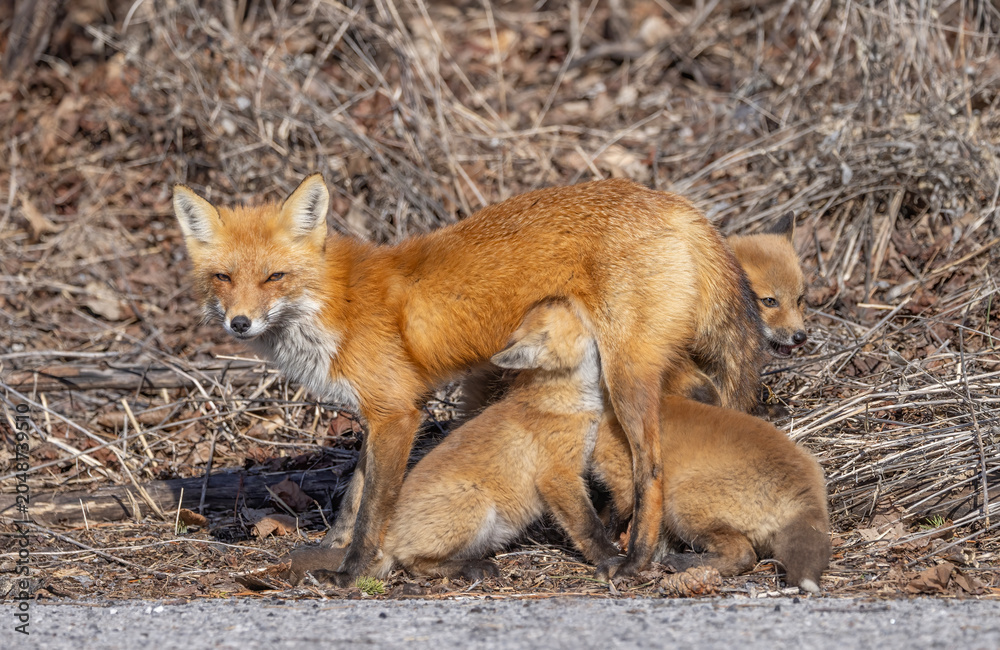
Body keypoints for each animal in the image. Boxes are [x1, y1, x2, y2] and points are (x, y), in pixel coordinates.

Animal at [362, 301, 618, 580]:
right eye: (568, 311)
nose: (557, 296)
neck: (562, 399)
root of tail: (388, 536)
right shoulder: (557, 477)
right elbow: (588, 526)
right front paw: (611, 559)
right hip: (475, 502)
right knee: (413, 562)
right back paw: (472, 567)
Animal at [590, 392, 830, 593]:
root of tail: (806, 495)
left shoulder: (625, 481)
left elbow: (619, 516)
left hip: (682, 504)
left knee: (743, 555)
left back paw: (680, 562)